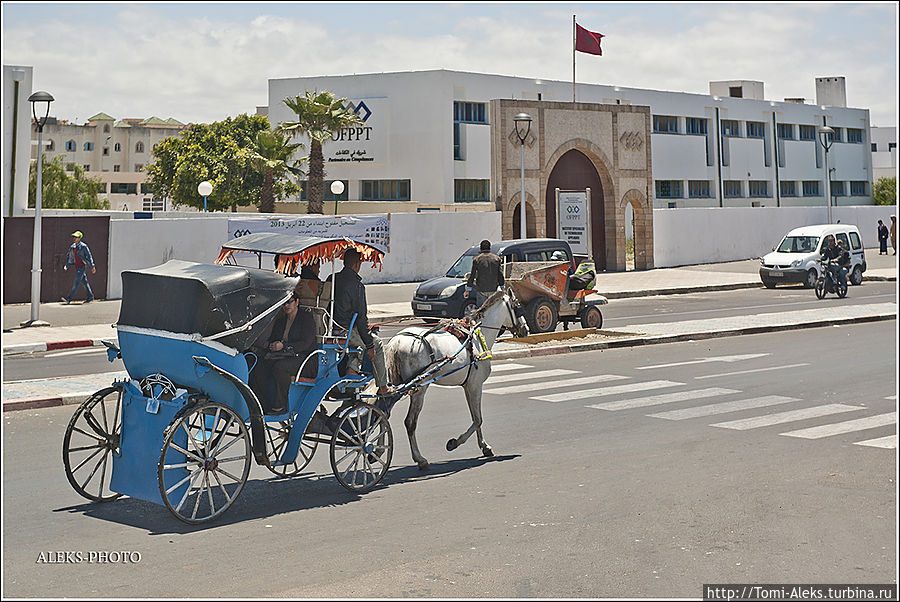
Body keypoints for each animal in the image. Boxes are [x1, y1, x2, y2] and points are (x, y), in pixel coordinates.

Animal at [382, 290, 528, 468]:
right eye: (518, 307)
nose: (525, 329)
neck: (477, 335)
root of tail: (397, 341)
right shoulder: (475, 386)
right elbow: (478, 419)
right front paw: (455, 442)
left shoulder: (468, 386)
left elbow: (475, 417)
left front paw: (484, 446)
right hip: (418, 389)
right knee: (410, 422)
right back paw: (419, 459)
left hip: (394, 387)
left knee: (382, 414)